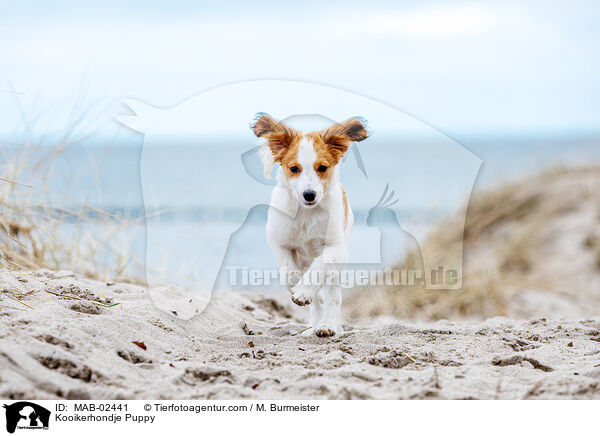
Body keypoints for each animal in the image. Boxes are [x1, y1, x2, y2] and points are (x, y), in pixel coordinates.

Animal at [251, 113, 368, 338]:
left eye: (322, 168)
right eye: (294, 169)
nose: (309, 195)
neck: (307, 214)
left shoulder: (334, 247)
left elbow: (318, 267)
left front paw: (304, 290)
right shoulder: (278, 241)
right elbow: (288, 270)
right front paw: (295, 286)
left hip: (338, 267)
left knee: (332, 296)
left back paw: (326, 325)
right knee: (317, 300)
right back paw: (314, 322)